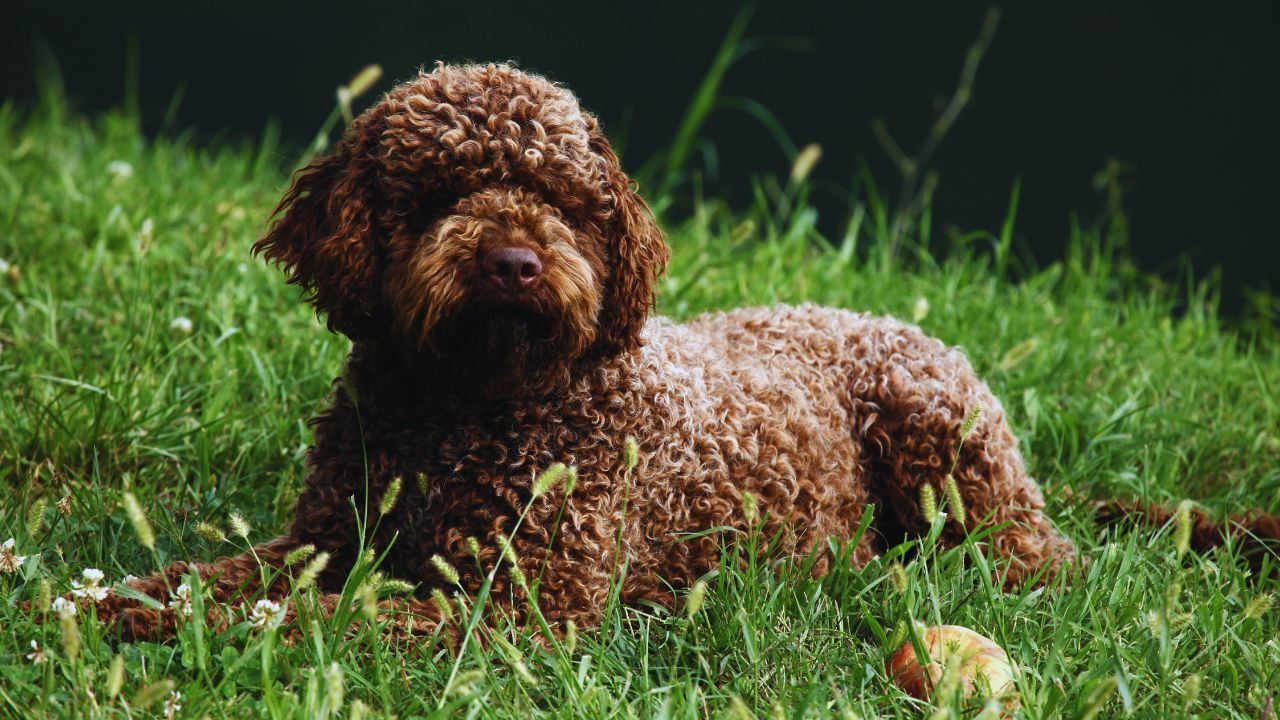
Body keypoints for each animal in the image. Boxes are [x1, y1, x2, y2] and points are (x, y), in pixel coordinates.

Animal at [85, 63, 1075, 638]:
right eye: (441, 191)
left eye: (561, 198)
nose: (514, 263)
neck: (462, 408)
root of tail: (888, 320)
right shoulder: (326, 534)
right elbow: (208, 575)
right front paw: (114, 602)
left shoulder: (526, 603)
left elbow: (334, 618)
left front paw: (233, 628)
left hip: (940, 441)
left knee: (1037, 556)